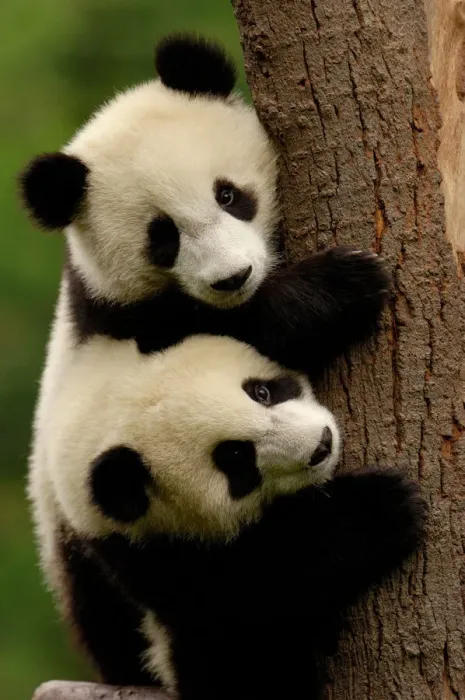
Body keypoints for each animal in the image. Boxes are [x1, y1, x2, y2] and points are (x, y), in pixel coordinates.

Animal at [37, 334, 426, 700]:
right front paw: (380, 507)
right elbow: (247, 594)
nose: (321, 445)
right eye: (237, 457)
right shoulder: (148, 556)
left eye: (261, 391)